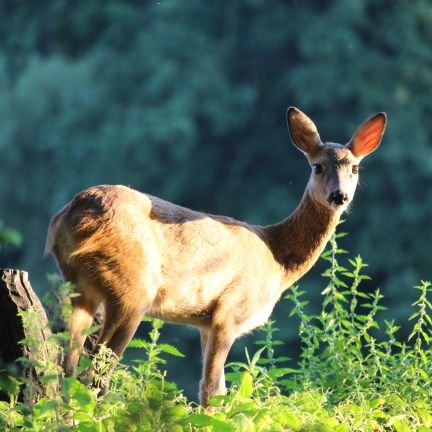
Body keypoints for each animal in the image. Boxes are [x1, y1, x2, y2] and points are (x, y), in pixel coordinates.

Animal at [45, 107, 386, 404]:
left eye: (355, 168)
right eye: (317, 166)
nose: (339, 196)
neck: (277, 260)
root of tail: (76, 213)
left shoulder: (204, 323)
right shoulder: (230, 310)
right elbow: (212, 391)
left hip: (79, 287)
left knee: (66, 363)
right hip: (132, 288)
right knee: (95, 374)